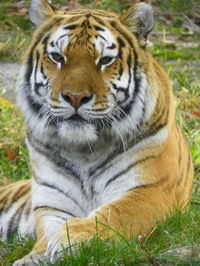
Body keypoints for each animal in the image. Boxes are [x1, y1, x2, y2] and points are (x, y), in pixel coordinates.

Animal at [0, 0, 194, 264]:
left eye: (105, 60)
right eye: (58, 57)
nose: (75, 97)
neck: (84, 149)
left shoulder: (152, 190)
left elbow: (114, 213)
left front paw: (70, 238)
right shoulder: (51, 202)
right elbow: (46, 232)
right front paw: (35, 255)